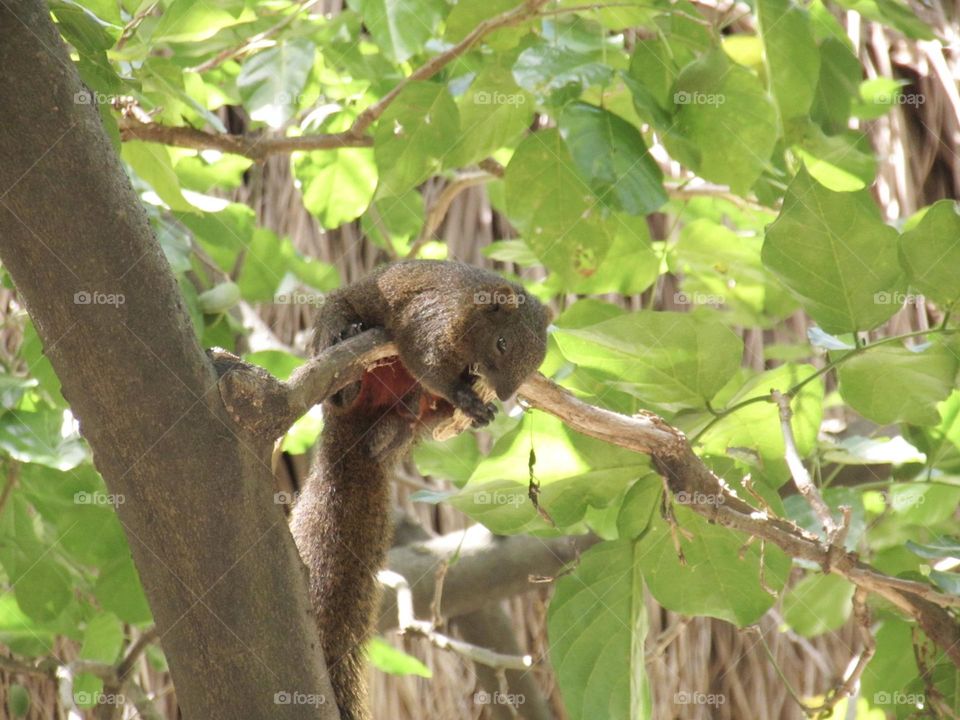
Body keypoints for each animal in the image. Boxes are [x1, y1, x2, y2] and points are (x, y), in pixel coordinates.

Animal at [289, 260, 550, 720]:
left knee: (413, 418)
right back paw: (349, 370)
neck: (470, 311)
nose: (505, 393)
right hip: (335, 335)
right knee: (340, 367)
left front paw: (477, 405)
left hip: (412, 416)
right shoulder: (430, 321)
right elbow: (425, 360)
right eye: (502, 344)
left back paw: (399, 428)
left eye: (537, 362)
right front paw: (467, 396)